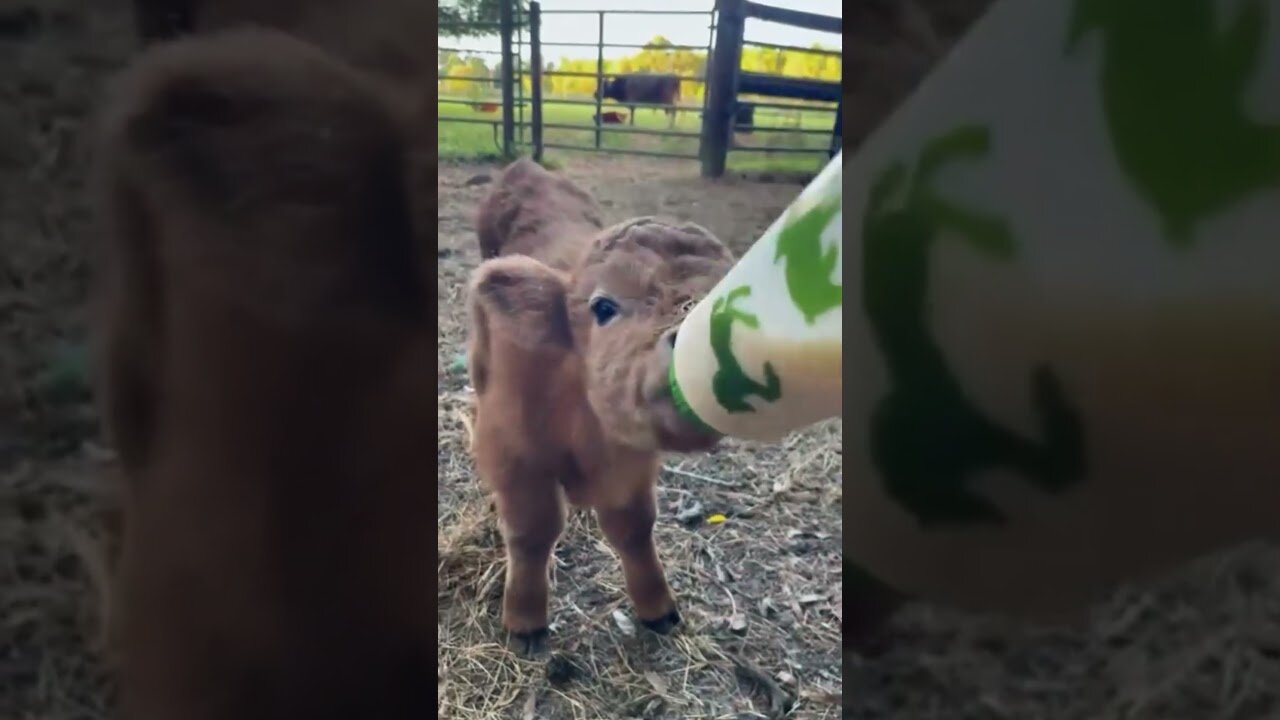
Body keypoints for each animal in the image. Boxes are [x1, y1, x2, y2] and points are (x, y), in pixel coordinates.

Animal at [468, 158, 736, 655]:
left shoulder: (631, 463)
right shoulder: (510, 451)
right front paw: (525, 621)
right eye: (604, 306)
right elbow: (532, 531)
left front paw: (657, 607)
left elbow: (632, 526)